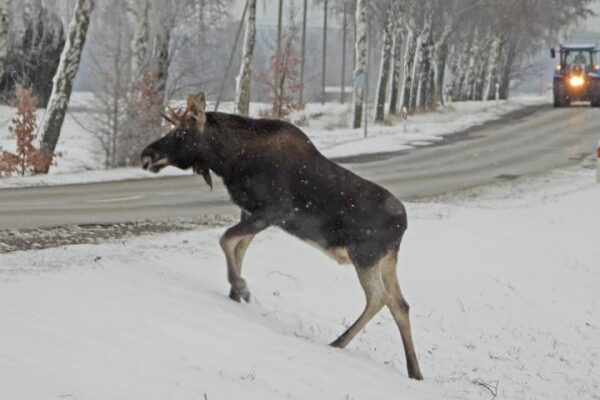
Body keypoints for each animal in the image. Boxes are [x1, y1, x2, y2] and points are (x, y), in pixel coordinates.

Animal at [140, 92, 422, 380]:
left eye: (181, 131)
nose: (146, 155)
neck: (229, 160)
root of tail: (403, 224)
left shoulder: (273, 210)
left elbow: (226, 239)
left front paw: (242, 288)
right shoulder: (250, 210)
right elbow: (238, 248)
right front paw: (235, 294)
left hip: (365, 255)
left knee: (379, 297)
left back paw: (338, 342)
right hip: (386, 259)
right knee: (400, 304)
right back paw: (415, 371)